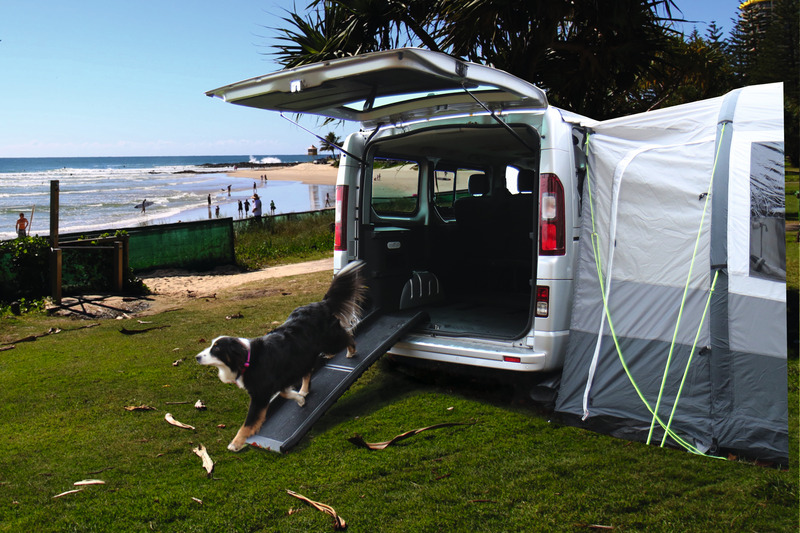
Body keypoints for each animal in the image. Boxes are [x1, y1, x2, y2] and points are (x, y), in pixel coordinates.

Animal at [195, 260, 368, 450]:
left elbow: (248, 423)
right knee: (309, 371)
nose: (197, 357)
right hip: (303, 356)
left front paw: (235, 443)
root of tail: (320, 303)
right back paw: (304, 389)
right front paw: (299, 398)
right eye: (211, 345)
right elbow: (285, 394)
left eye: (216, 349)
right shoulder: (278, 381)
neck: (248, 359)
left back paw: (351, 351)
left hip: (329, 342)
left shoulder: (260, 395)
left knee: (347, 336)